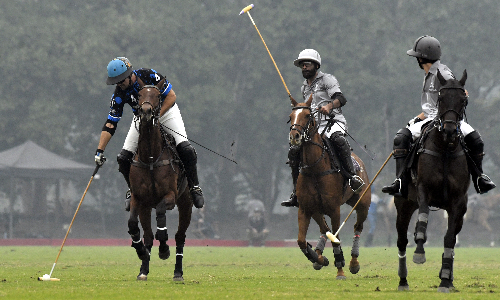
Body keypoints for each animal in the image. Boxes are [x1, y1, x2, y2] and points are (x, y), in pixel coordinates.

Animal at [128, 77, 192, 282]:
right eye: (139, 94)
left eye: (157, 95)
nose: (146, 112)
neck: (150, 157)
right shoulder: (139, 199)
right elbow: (133, 224)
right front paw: (140, 251)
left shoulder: (170, 195)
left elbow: (162, 215)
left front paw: (164, 249)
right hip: (146, 207)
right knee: (148, 235)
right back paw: (143, 269)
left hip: (186, 202)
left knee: (180, 236)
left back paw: (178, 272)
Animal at [290, 94, 372, 278]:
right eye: (290, 116)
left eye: (307, 115)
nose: (294, 137)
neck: (314, 168)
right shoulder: (305, 208)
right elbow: (301, 240)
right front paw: (319, 259)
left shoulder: (335, 209)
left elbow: (336, 238)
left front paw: (340, 268)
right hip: (317, 209)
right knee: (323, 230)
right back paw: (319, 256)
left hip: (363, 203)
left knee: (357, 227)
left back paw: (353, 263)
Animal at [396, 69, 470, 290]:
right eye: (441, 97)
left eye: (463, 99)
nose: (449, 130)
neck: (445, 148)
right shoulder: (423, 190)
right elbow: (423, 218)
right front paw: (419, 251)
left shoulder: (457, 202)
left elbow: (450, 238)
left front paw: (445, 279)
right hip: (403, 205)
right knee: (401, 240)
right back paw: (403, 280)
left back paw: (448, 278)